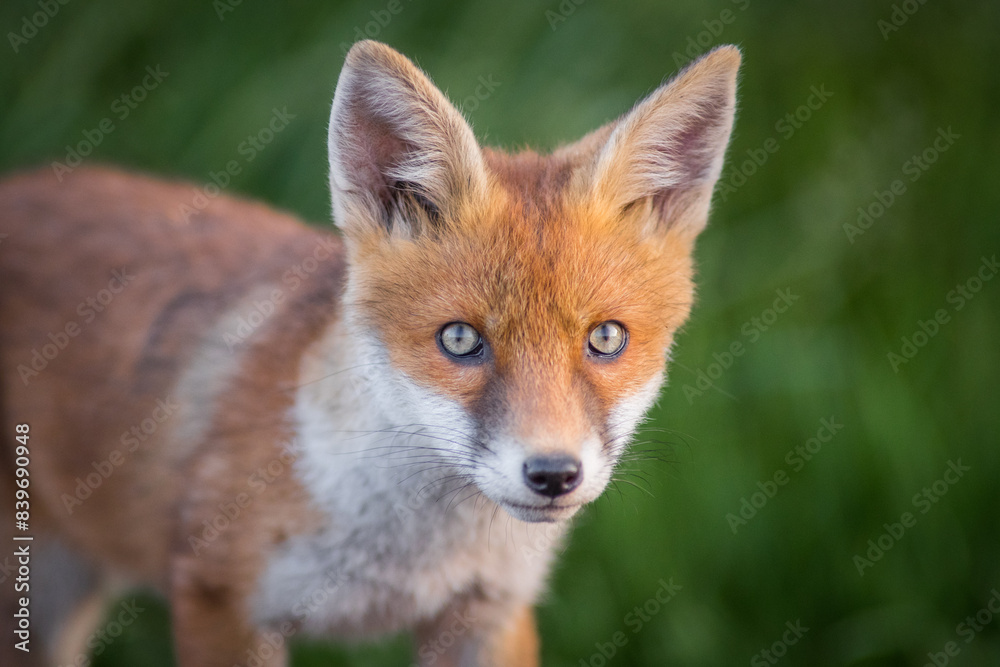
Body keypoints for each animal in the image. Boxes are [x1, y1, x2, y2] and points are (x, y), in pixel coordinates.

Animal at [0, 40, 740, 666]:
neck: (406, 561)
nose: (554, 473)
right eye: (460, 339)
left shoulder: (489, 614)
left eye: (606, 338)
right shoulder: (222, 600)